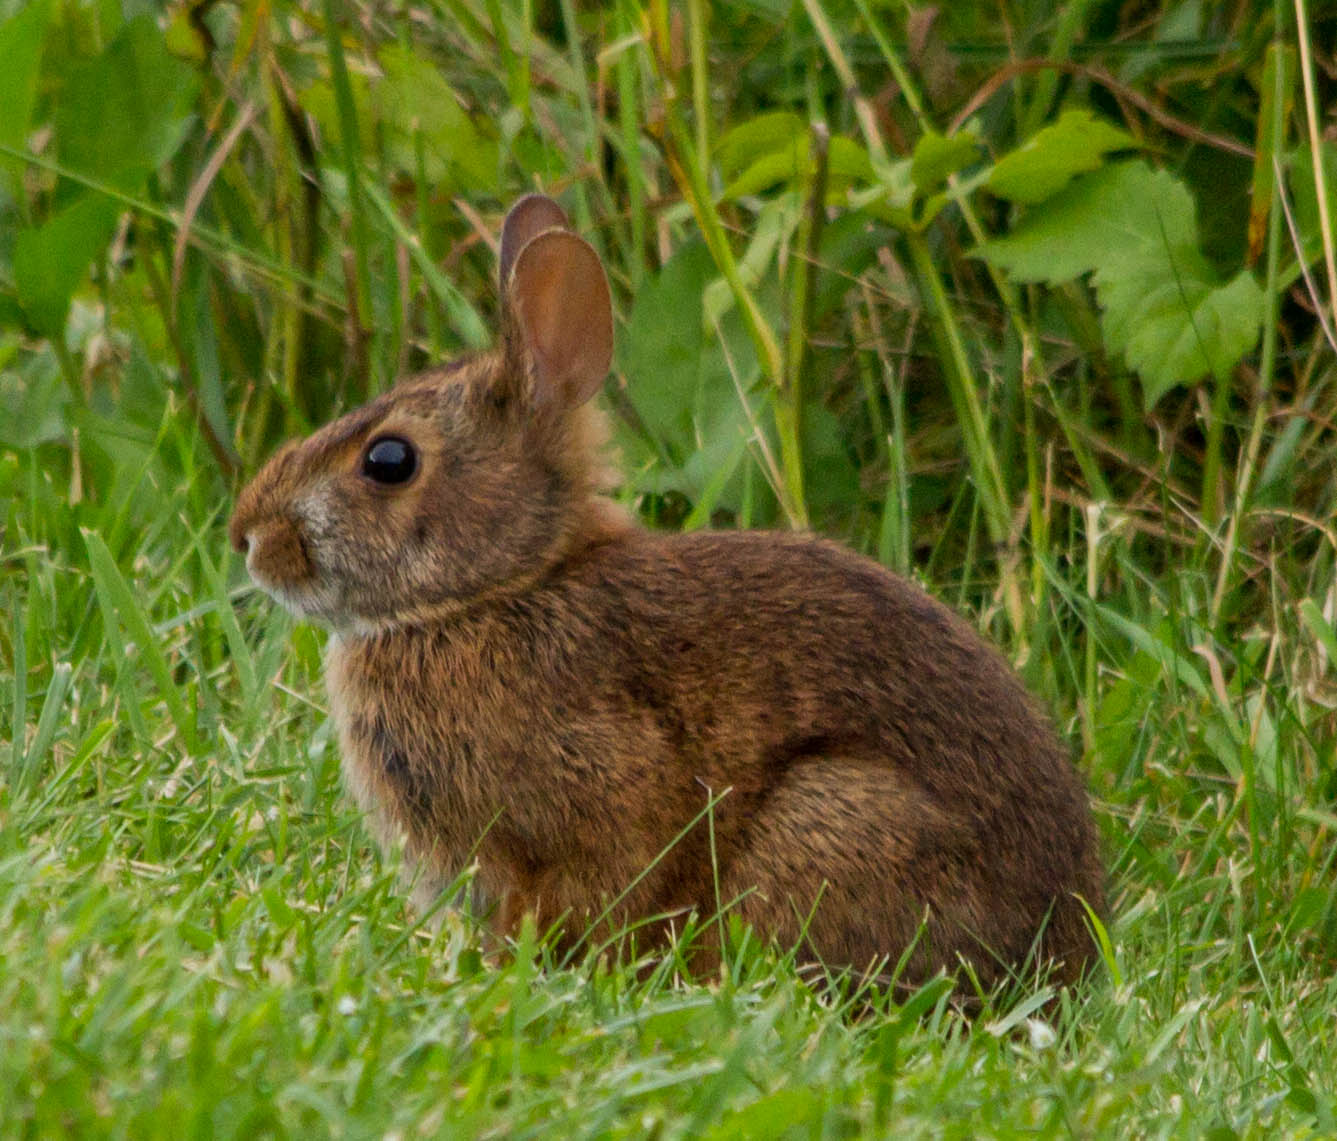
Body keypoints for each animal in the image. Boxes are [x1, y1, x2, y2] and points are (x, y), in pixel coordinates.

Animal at [232, 193, 1107, 989]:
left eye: (389, 460)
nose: (247, 534)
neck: (497, 589)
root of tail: (1067, 952)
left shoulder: (601, 788)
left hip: (830, 815)